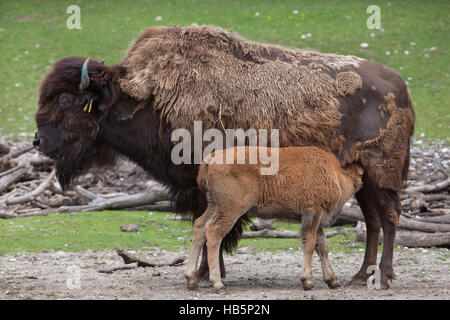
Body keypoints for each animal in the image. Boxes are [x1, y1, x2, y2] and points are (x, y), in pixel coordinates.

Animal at [185, 146, 364, 292]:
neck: (335, 173)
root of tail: (212, 158)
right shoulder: (313, 213)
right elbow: (310, 243)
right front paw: (307, 281)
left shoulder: (316, 219)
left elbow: (322, 246)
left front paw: (333, 281)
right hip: (230, 209)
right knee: (213, 232)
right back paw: (217, 283)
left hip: (214, 205)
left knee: (200, 226)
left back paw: (191, 279)